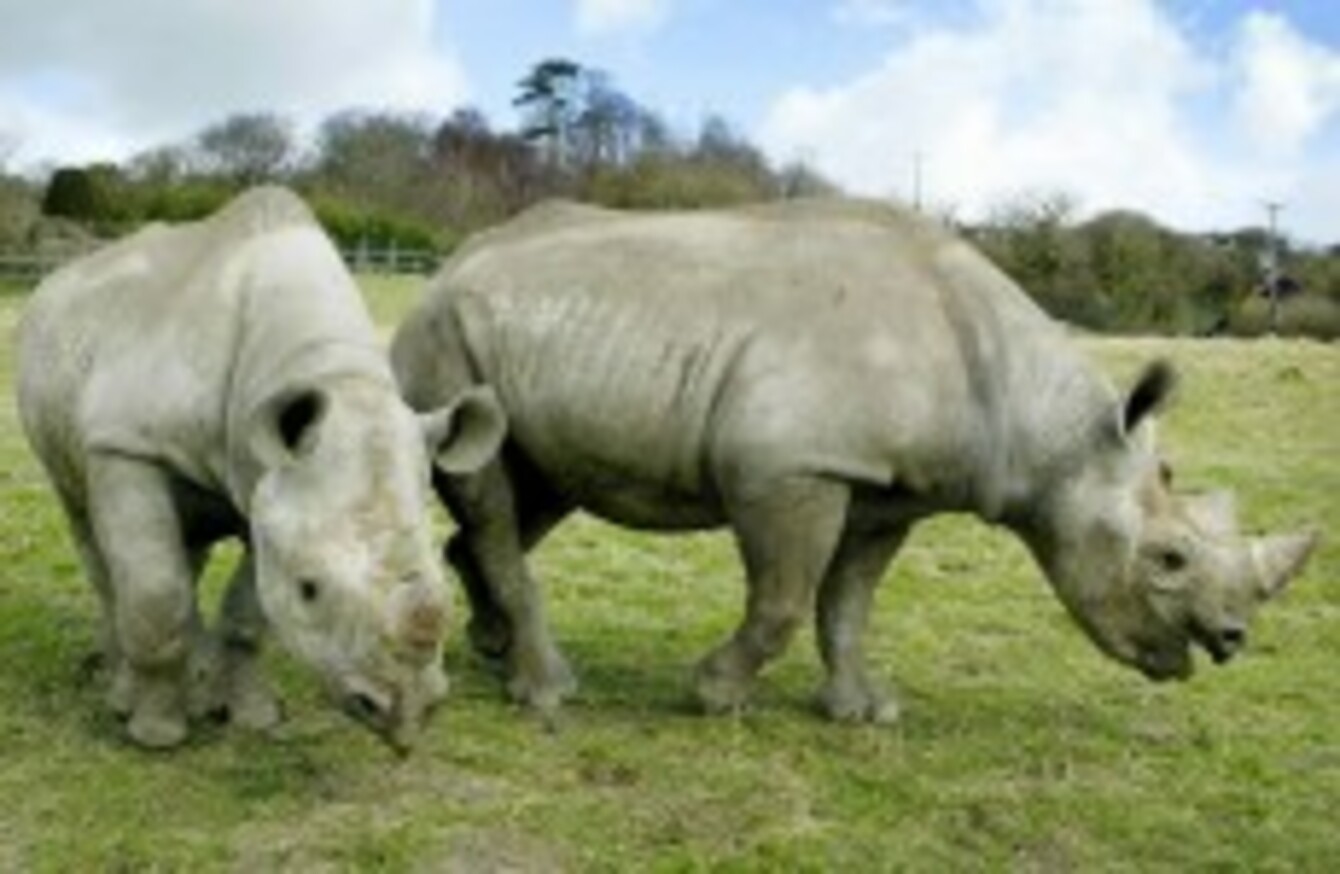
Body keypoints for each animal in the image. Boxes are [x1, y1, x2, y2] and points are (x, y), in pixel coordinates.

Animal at [16, 187, 504, 750]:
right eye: (310, 588)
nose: (408, 715)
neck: (325, 371)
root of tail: (58, 279)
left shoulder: (266, 481)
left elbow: (247, 617)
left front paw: (254, 718)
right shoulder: (126, 445)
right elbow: (156, 597)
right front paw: (157, 735)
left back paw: (200, 692)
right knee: (95, 539)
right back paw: (122, 695)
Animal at [390, 198, 1319, 722]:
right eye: (1168, 559)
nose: (1232, 640)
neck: (1045, 422)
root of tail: (451, 262)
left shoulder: (887, 491)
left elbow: (847, 605)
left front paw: (864, 713)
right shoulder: (790, 467)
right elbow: (784, 600)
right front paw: (714, 697)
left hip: (526, 341)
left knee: (529, 490)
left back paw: (492, 649)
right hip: (445, 338)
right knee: (492, 494)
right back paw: (549, 694)